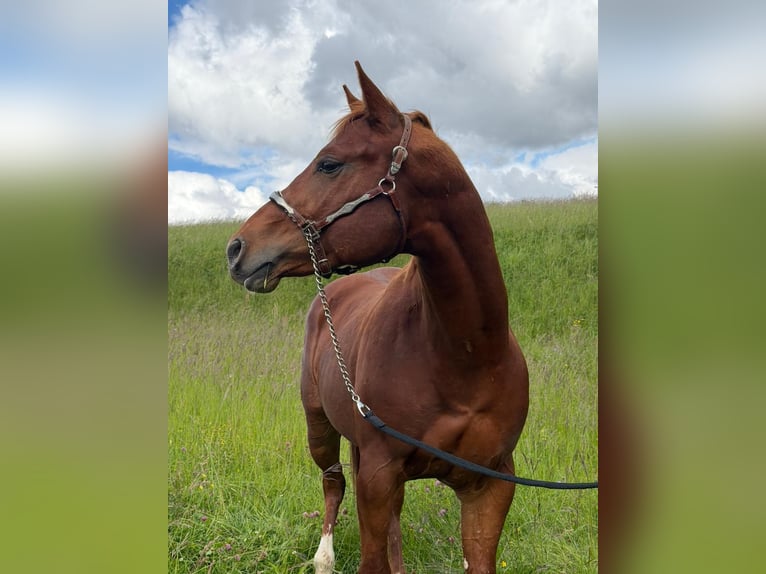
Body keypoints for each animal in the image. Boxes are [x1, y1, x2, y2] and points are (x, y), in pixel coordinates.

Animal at [227, 61, 529, 574]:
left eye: (329, 163)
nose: (236, 247)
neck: (465, 354)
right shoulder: (378, 473)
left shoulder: (490, 485)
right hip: (320, 428)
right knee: (332, 483)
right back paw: (324, 557)